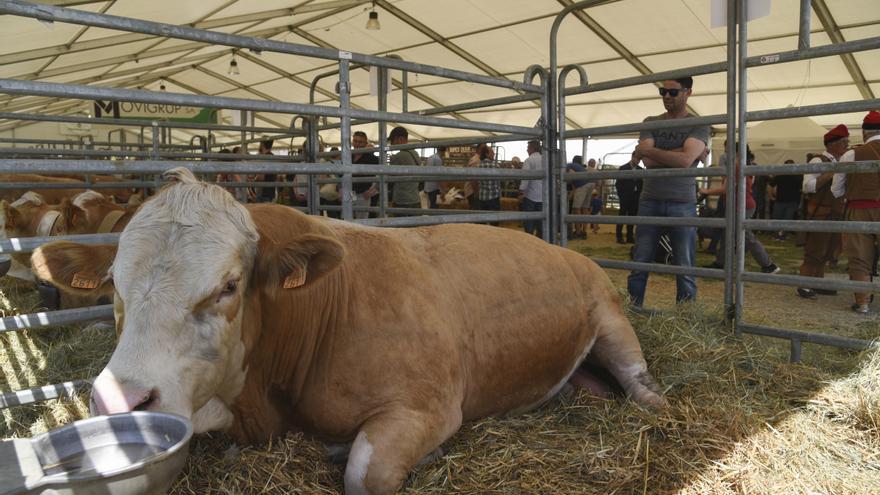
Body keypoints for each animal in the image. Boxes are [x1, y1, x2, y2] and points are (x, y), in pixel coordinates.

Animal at [34, 168, 668, 495]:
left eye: (229, 286)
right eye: (113, 283)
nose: (121, 401)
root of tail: (566, 249)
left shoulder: (428, 406)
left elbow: (365, 473)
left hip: (612, 320)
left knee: (642, 387)